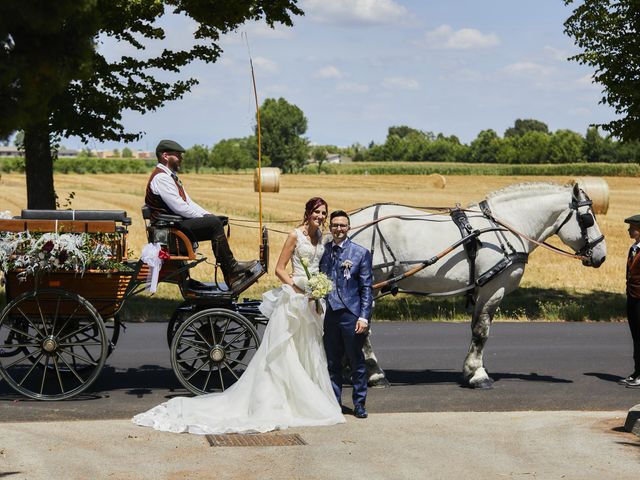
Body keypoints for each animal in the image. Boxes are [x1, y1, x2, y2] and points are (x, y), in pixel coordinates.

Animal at [350, 182, 604, 388]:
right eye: (588, 218)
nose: (602, 255)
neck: (506, 227)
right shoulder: (493, 289)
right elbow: (481, 331)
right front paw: (477, 374)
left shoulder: (481, 290)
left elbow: (475, 328)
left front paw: (470, 370)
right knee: (363, 329)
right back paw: (376, 375)